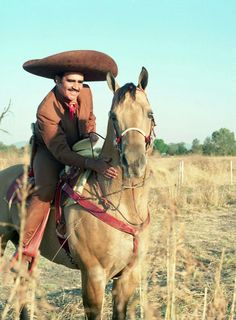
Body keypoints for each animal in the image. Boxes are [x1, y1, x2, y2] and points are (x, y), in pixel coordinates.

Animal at [0, 66, 155, 318]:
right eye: (113, 116)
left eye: (150, 114)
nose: (133, 163)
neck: (121, 206)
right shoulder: (93, 277)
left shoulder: (127, 277)